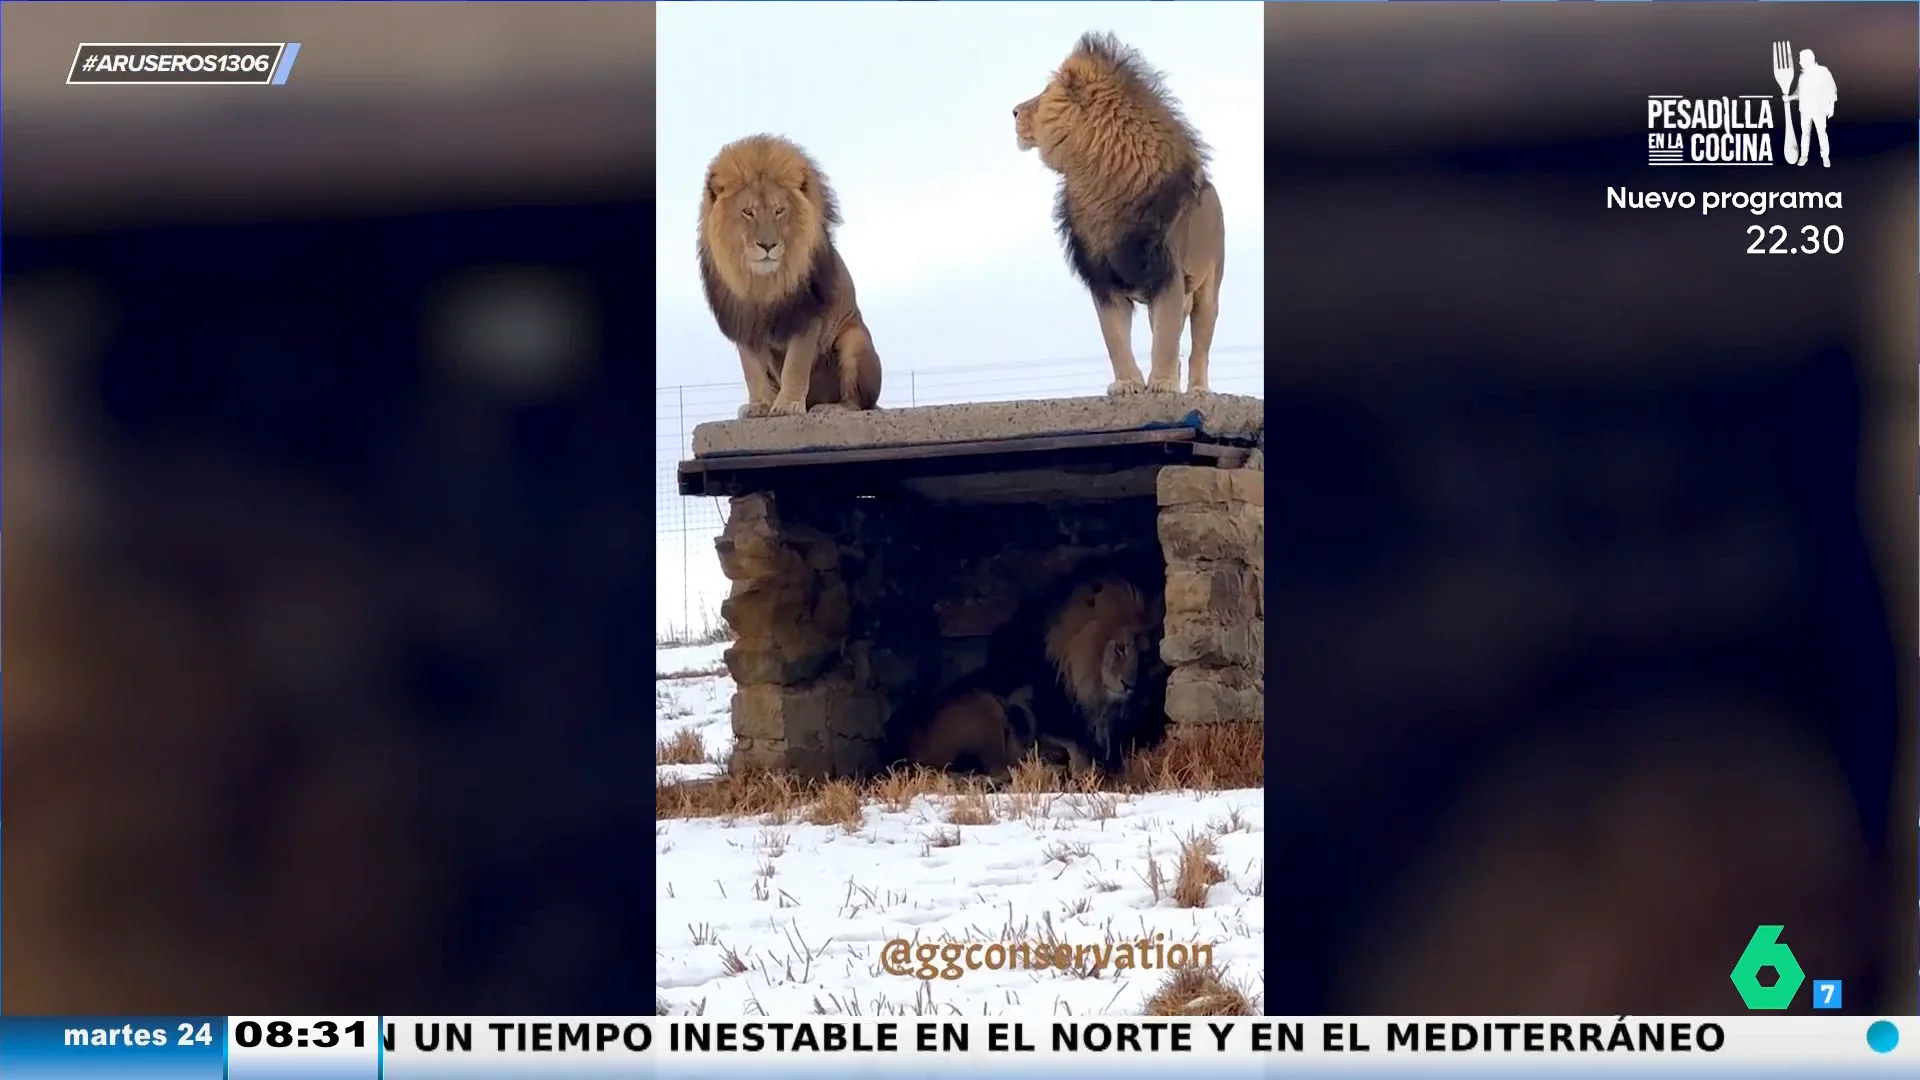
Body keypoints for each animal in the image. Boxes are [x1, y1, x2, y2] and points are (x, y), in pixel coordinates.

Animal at [698, 133, 883, 417]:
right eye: (748, 212)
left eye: (779, 210)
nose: (767, 245)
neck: (762, 283)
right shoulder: (743, 320)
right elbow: (752, 370)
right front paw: (760, 405)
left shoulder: (806, 314)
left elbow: (796, 365)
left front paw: (787, 406)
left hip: (854, 340)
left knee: (860, 403)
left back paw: (831, 408)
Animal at [1013, 32, 1221, 395]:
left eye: (1041, 96)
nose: (1012, 112)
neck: (1099, 181)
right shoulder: (1102, 279)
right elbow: (1116, 339)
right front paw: (1127, 384)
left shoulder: (1168, 273)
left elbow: (1166, 339)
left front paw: (1162, 385)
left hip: (1209, 290)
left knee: (1199, 346)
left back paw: (1197, 389)